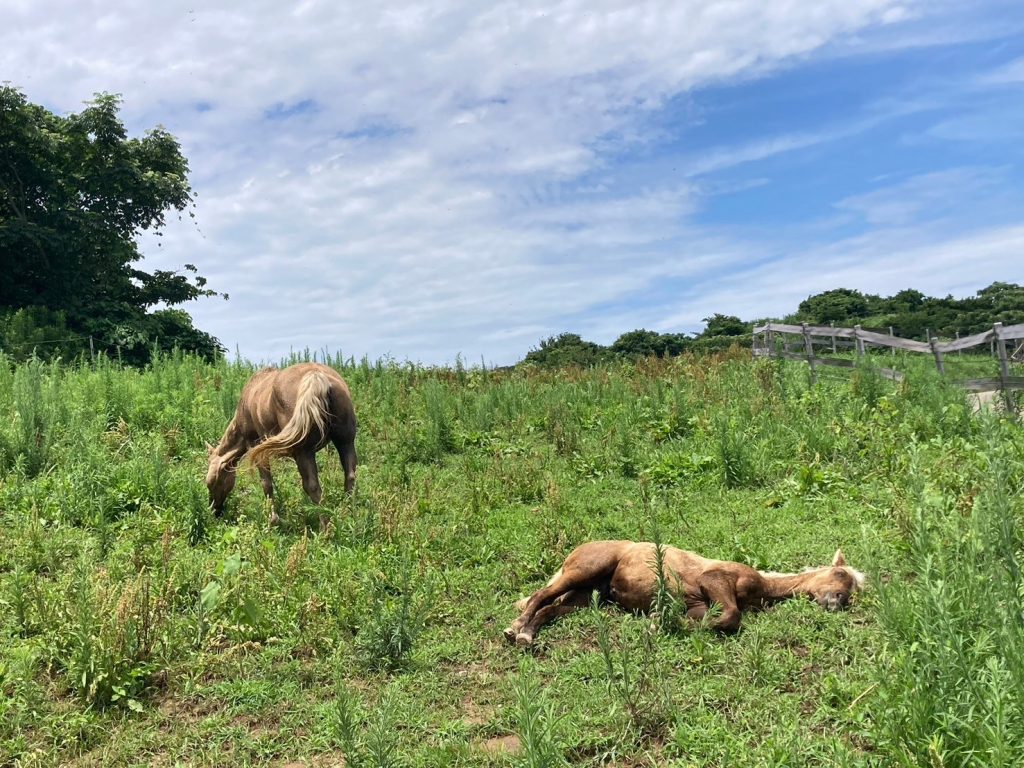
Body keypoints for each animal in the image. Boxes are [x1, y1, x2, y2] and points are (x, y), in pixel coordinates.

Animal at [203, 364, 356, 528]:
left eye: (212, 482)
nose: (214, 511)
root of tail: (316, 377)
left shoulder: (255, 446)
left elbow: (266, 483)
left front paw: (273, 519)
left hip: (303, 451)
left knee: (312, 486)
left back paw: (325, 527)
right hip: (346, 441)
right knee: (350, 476)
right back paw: (348, 515)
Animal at [503, 540, 864, 651]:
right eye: (840, 574)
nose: (837, 602)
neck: (761, 584)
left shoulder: (699, 607)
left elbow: (715, 619)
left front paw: (660, 621)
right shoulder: (713, 580)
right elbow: (732, 616)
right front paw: (658, 624)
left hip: (586, 597)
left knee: (550, 609)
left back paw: (526, 634)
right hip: (584, 572)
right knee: (540, 595)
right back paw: (514, 628)